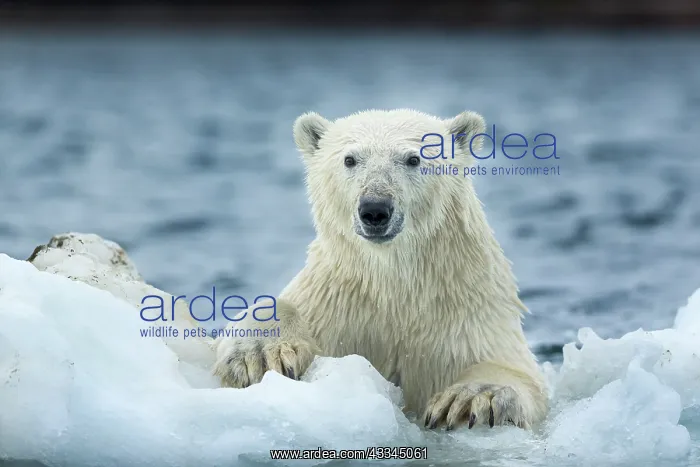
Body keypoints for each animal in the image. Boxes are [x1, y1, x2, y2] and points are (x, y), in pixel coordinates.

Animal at [212, 109, 549, 431]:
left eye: (414, 159)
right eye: (350, 159)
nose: (374, 209)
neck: (392, 283)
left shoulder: (467, 314)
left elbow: (510, 368)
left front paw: (471, 397)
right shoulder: (334, 302)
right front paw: (260, 354)